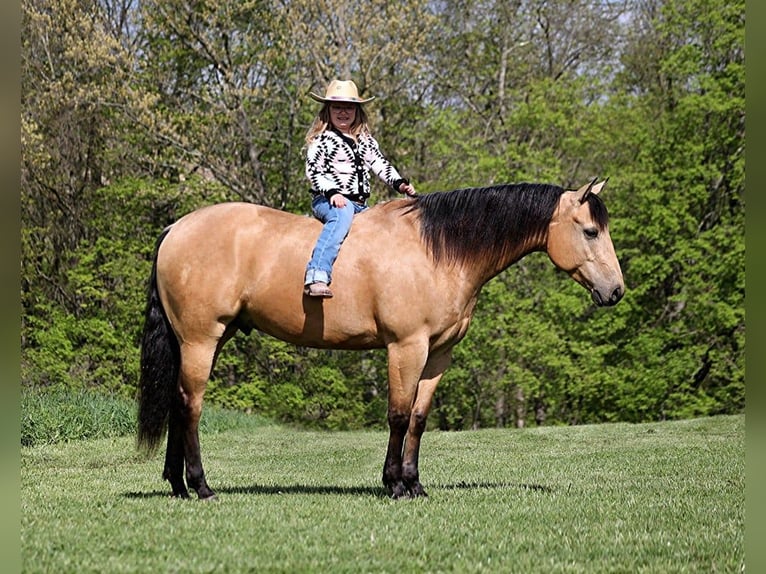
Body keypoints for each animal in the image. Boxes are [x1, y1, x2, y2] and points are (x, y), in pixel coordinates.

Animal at [137, 178, 624, 500]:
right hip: (201, 339)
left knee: (179, 402)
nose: (616, 291)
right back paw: (201, 486)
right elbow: (398, 416)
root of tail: (175, 229)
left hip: (204, 340)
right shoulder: (406, 347)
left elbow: (420, 419)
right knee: (191, 406)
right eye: (590, 231)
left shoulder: (438, 353)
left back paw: (178, 485)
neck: (437, 250)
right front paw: (393, 484)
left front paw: (415, 483)